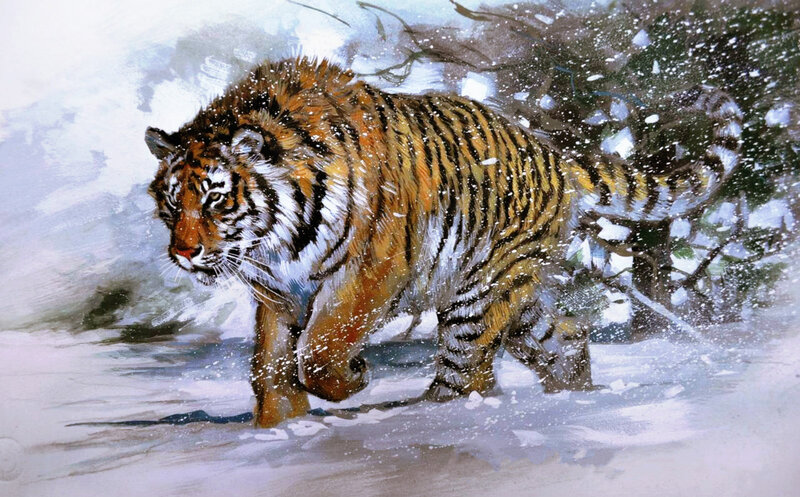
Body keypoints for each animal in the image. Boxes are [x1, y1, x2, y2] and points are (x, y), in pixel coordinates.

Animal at [145, 57, 742, 428]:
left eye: (216, 199)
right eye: (174, 202)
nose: (183, 253)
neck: (275, 243)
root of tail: (556, 157)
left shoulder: (368, 270)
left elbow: (320, 349)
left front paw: (354, 379)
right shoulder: (275, 292)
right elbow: (268, 366)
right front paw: (276, 427)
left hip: (474, 292)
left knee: (469, 372)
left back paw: (427, 415)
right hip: (514, 293)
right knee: (566, 335)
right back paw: (573, 397)